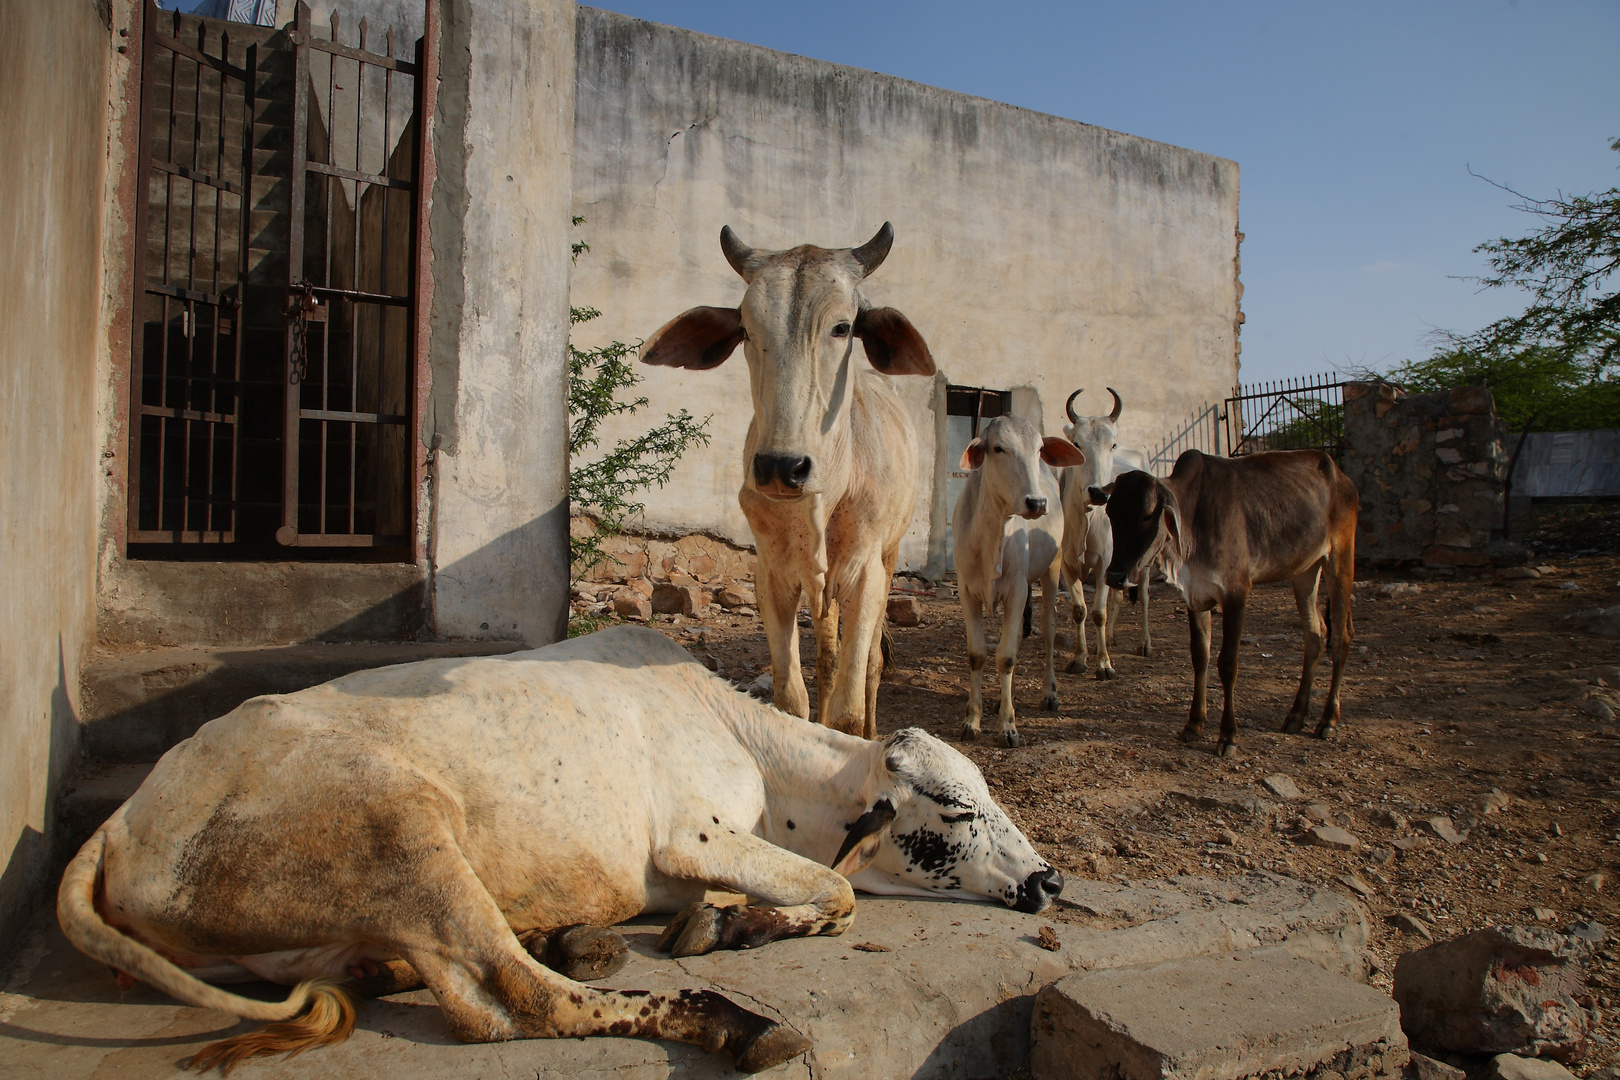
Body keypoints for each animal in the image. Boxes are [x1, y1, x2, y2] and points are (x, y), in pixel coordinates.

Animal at [57, 625, 1062, 1075]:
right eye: (955, 807)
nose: (1050, 879)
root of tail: (130, 817)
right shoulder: (693, 833)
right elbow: (837, 893)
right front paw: (734, 931)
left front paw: (720, 923)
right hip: (402, 823)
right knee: (516, 1000)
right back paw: (725, 1022)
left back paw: (557, 941)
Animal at [638, 223, 933, 738]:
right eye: (745, 329)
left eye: (843, 327)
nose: (781, 467)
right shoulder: (772, 575)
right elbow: (791, 698)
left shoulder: (866, 575)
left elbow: (850, 708)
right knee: (828, 659)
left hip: (891, 555)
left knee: (871, 666)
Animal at [946, 417, 1088, 748]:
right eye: (998, 448)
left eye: (1039, 449)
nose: (1036, 502)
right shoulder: (967, 592)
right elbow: (978, 654)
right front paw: (972, 721)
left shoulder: (1017, 591)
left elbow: (1007, 656)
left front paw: (1008, 726)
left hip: (1052, 570)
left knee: (1048, 632)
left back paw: (1049, 694)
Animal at [1101, 453, 1354, 757]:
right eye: (1111, 513)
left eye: (1147, 514)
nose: (1114, 576)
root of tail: (1340, 474)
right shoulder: (1196, 596)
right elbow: (1200, 656)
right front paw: (1193, 724)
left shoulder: (1236, 594)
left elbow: (1228, 664)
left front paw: (1228, 735)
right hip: (1305, 571)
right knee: (1314, 636)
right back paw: (1295, 715)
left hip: (1339, 559)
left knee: (1340, 638)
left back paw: (1328, 720)